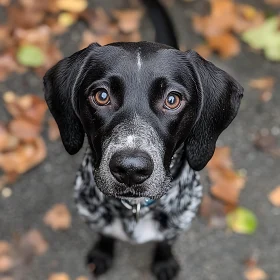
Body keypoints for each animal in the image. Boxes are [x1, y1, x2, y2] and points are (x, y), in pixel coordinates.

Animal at [43, 0, 243, 278]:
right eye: (101, 95)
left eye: (172, 99)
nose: (130, 169)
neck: (133, 207)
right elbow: (105, 235)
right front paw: (102, 253)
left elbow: (165, 242)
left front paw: (164, 261)